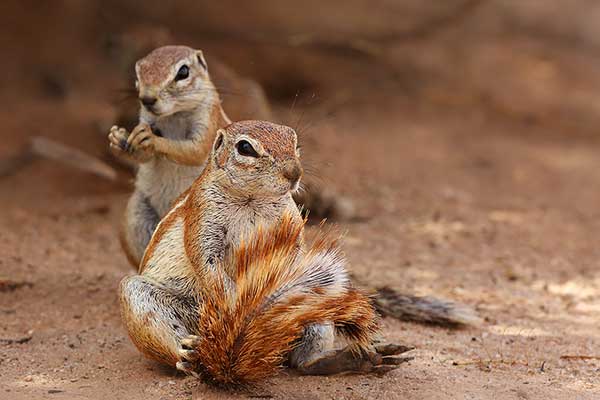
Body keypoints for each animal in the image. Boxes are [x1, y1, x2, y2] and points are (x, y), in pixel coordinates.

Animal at [118, 119, 408, 384]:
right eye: (245, 148)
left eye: (295, 144)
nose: (294, 172)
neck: (252, 199)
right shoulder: (203, 217)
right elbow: (209, 263)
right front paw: (241, 308)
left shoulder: (291, 223)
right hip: (156, 304)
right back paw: (189, 355)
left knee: (303, 362)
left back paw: (349, 359)